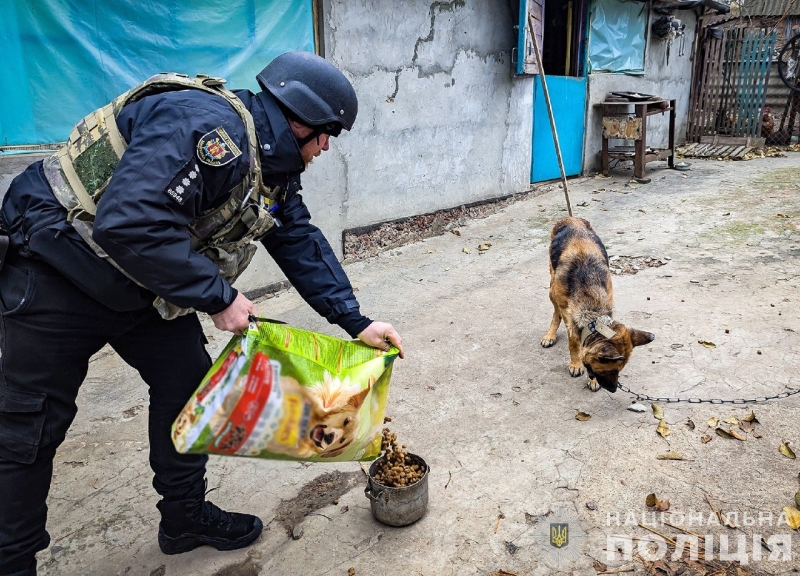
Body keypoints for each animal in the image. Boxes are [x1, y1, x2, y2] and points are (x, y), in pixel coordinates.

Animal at [536, 218, 656, 394]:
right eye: (608, 370)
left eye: (619, 371)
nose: (614, 390)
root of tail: (572, 219)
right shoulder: (568, 314)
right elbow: (573, 342)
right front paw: (576, 363)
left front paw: (591, 380)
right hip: (552, 290)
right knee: (556, 312)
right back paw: (550, 335)